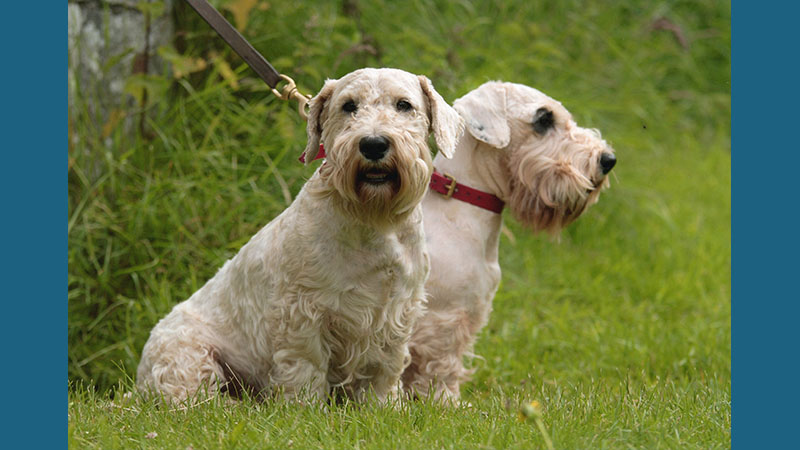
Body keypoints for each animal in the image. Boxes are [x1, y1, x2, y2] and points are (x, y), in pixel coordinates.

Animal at [136, 68, 462, 406]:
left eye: (404, 105)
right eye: (348, 106)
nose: (373, 144)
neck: (372, 220)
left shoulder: (396, 310)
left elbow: (384, 367)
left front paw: (382, 406)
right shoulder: (303, 311)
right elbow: (306, 364)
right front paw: (304, 407)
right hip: (187, 355)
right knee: (188, 398)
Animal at [404, 81, 616, 400]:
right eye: (543, 119)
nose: (607, 159)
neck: (462, 200)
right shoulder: (444, 318)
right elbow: (441, 367)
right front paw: (446, 402)